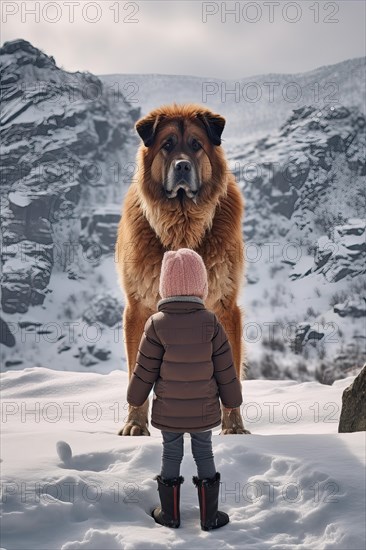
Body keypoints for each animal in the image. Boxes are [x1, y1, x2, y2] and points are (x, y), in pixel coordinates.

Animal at [116, 103, 250, 438]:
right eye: (167, 145)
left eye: (195, 145)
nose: (182, 167)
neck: (182, 225)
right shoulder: (138, 308)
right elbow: (135, 373)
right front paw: (135, 424)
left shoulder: (225, 306)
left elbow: (232, 372)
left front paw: (233, 428)